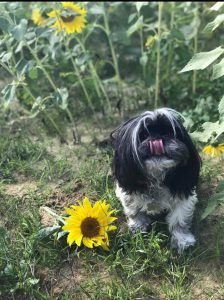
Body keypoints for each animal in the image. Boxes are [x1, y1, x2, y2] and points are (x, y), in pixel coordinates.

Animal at [112, 108, 201, 253]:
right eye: (143, 135)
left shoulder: (183, 198)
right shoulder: (128, 194)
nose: (157, 139)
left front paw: (182, 240)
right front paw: (138, 226)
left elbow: (179, 220)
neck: (156, 177)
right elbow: (134, 212)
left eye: (169, 133)